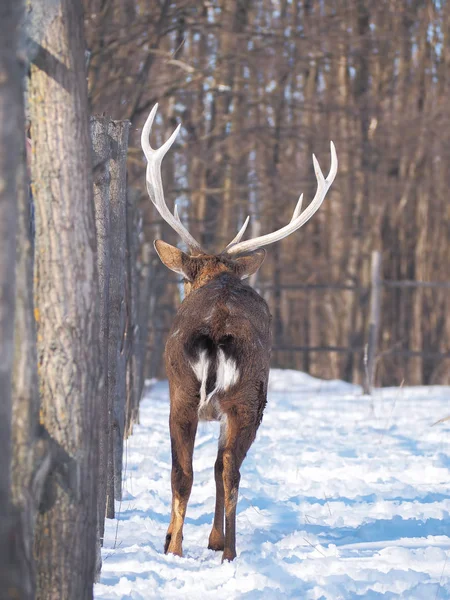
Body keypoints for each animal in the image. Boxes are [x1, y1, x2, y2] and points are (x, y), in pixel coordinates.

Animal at [142, 104, 338, 564]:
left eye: (183, 279)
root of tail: (216, 331)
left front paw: (195, 538)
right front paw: (204, 539)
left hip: (199, 393)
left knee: (199, 470)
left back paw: (189, 548)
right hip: (240, 398)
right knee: (218, 469)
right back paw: (220, 551)